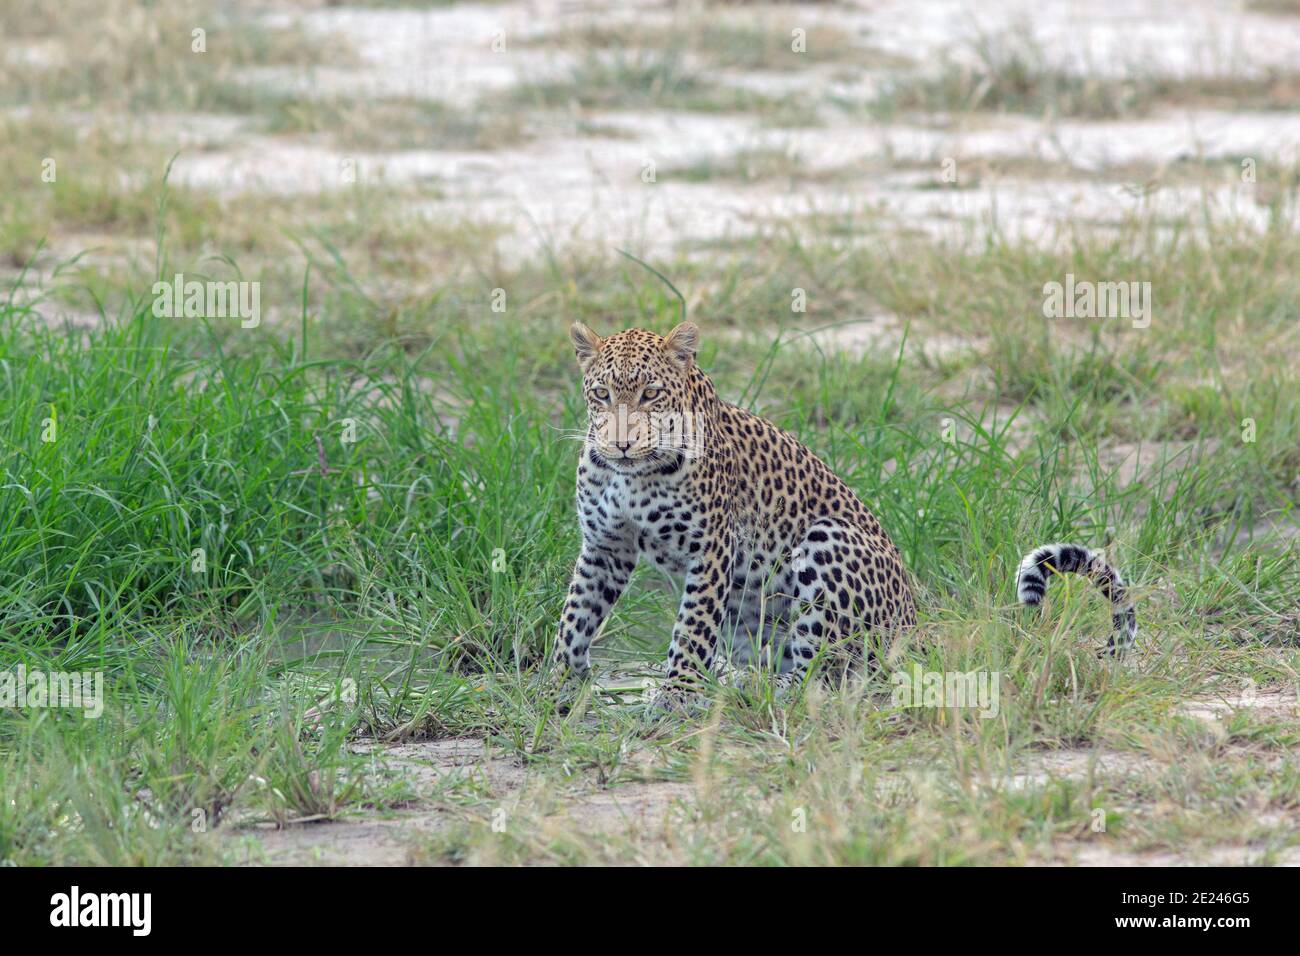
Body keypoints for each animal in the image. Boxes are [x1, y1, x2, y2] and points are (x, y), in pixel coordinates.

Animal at [551, 323, 1138, 712]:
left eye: (651, 394)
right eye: (601, 393)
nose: (621, 443)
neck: (632, 475)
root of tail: (918, 622)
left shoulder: (710, 548)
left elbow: (691, 629)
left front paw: (674, 698)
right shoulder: (605, 547)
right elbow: (575, 616)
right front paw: (554, 684)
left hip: (826, 540)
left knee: (827, 674)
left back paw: (756, 690)